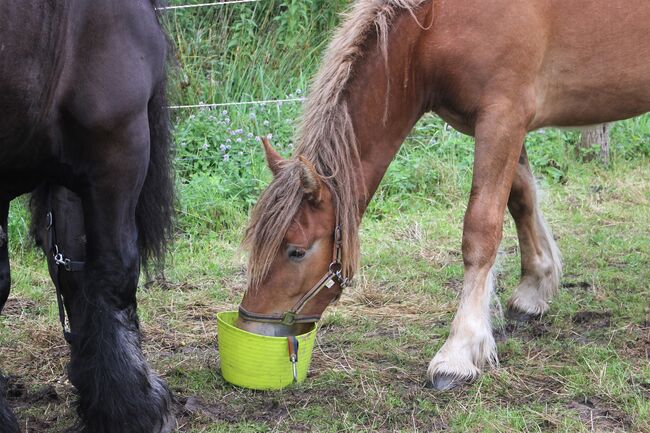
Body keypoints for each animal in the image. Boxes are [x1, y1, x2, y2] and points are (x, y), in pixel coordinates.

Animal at [238, 0, 648, 390]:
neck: (433, 28)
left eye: (296, 251)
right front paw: (535, 287)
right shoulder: (504, 126)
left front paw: (458, 353)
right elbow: (522, 199)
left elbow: (480, 231)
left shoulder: (502, 119)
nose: (252, 328)